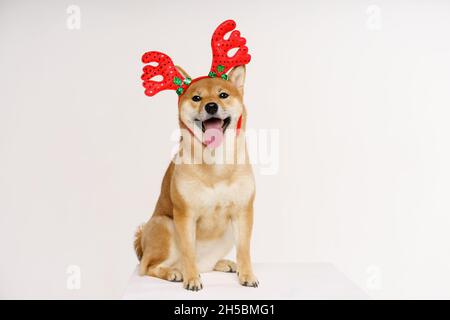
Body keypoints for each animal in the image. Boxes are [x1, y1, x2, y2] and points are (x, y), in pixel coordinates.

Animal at [134, 19, 256, 290]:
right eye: (197, 98)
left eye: (223, 95)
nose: (210, 106)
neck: (216, 163)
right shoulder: (184, 215)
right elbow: (188, 251)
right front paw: (191, 280)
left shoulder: (243, 211)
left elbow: (245, 249)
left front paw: (247, 274)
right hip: (164, 225)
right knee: (148, 267)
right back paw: (174, 272)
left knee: (207, 264)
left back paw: (223, 264)